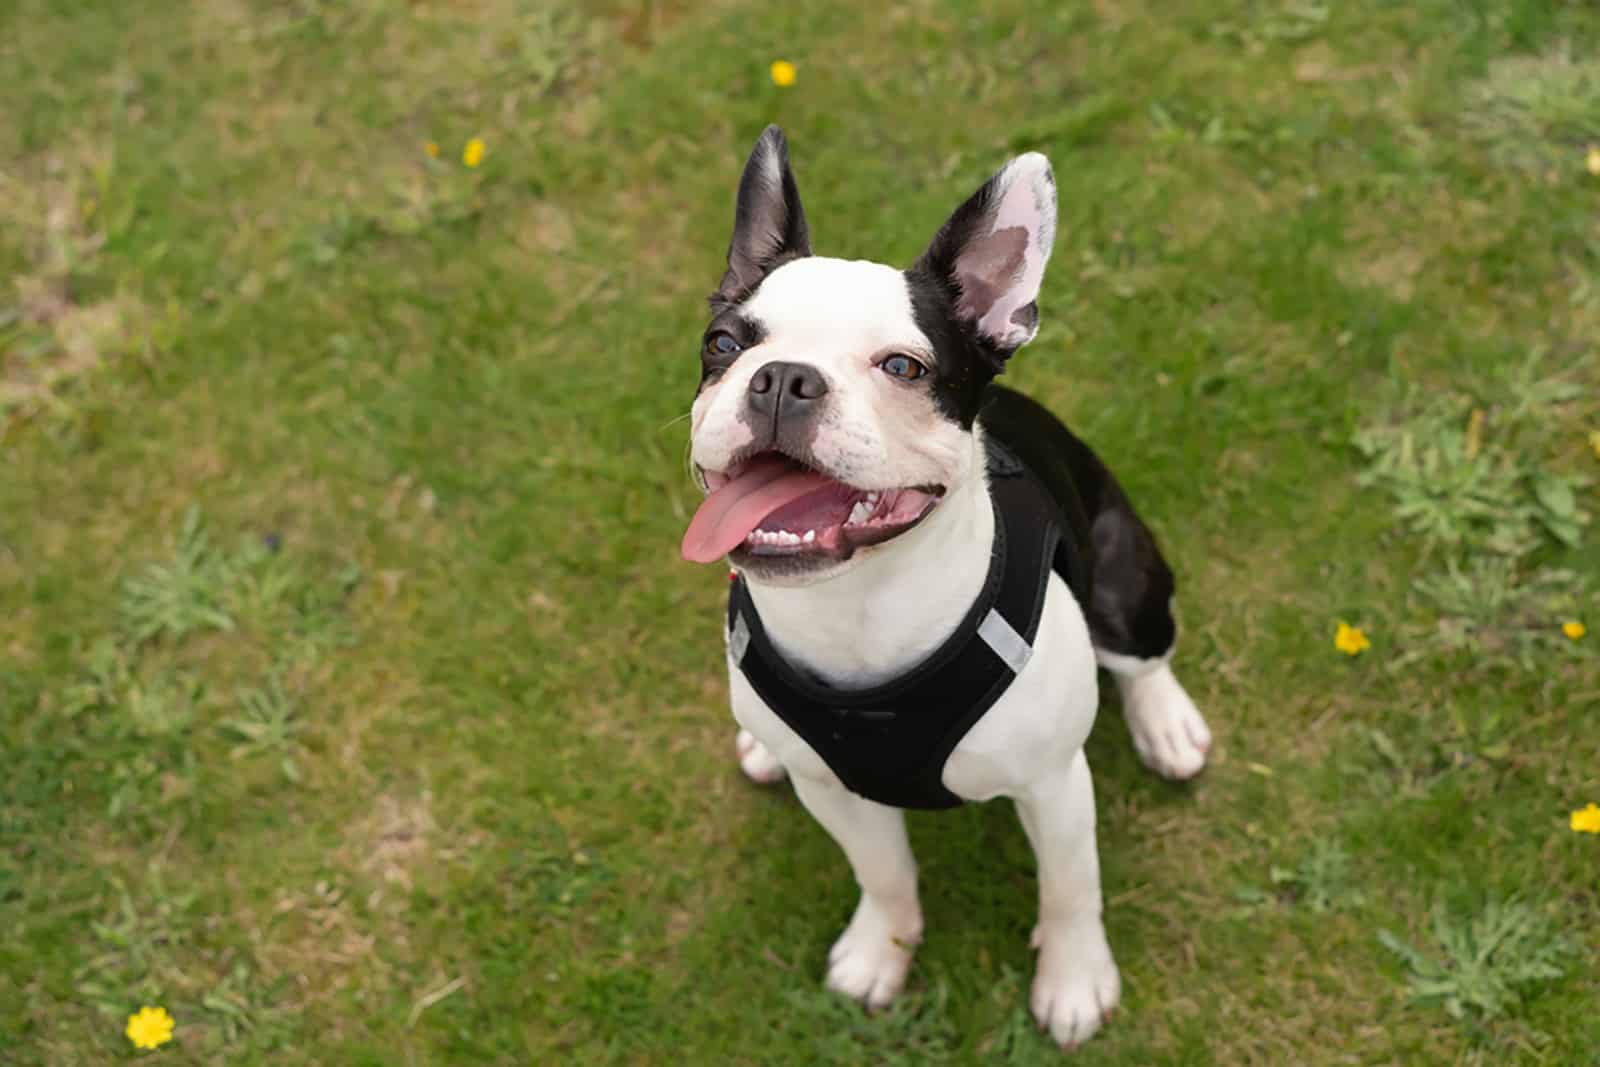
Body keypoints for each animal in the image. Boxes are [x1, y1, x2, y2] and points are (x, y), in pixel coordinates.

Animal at [675, 127, 1209, 1049]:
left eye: (903, 365)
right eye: (723, 344)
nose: (782, 376)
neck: (857, 607)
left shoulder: (1054, 784)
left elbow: (1071, 889)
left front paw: (1074, 981)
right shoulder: (837, 795)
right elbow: (884, 872)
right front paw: (880, 952)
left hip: (1123, 576)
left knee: (1143, 656)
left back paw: (1167, 723)